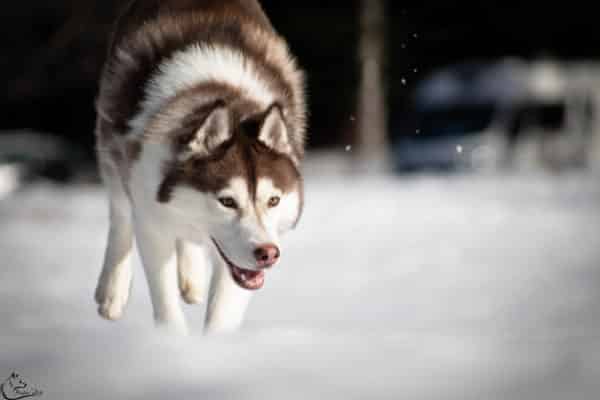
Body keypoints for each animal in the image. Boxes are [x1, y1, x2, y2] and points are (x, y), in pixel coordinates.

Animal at [96, 0, 310, 334]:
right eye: (227, 201)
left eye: (273, 200)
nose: (268, 254)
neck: (228, 100)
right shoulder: (151, 220)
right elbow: (166, 303)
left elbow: (222, 315)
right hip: (111, 144)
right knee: (120, 214)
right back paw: (112, 292)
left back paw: (191, 279)